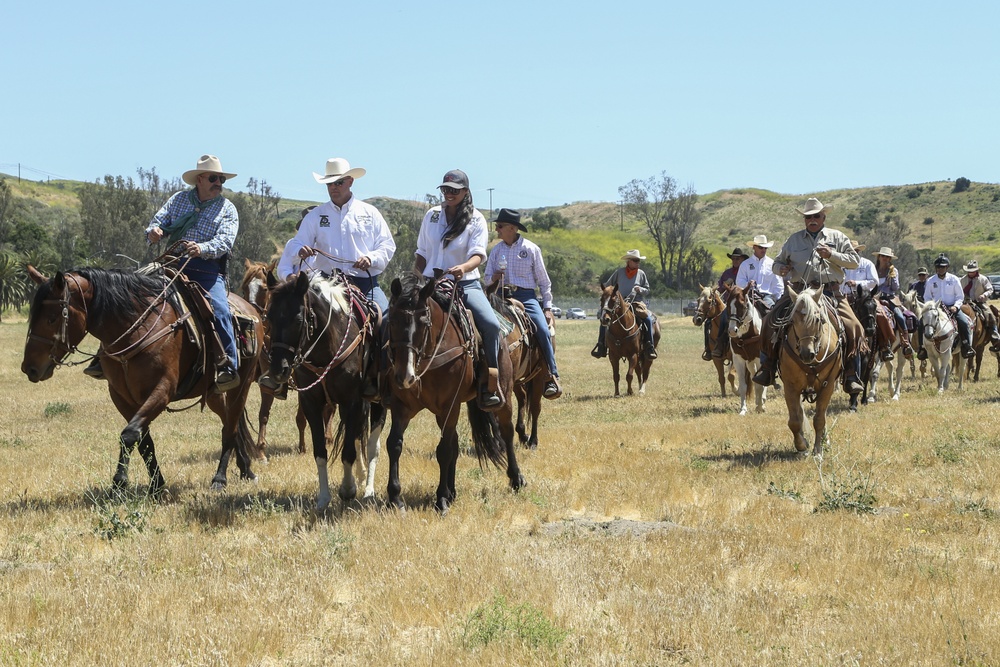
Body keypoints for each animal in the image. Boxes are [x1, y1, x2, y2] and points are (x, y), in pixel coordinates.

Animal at [21, 266, 264, 496]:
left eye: (52, 318)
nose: (29, 368)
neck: (138, 328)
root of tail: (251, 310)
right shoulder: (123, 398)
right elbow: (144, 441)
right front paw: (157, 485)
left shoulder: (162, 390)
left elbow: (129, 435)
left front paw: (119, 484)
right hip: (213, 393)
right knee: (230, 423)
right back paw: (246, 469)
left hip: (241, 387)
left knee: (230, 427)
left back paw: (220, 479)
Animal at [264, 272, 384, 512]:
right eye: (269, 318)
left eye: (298, 319)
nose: (278, 370)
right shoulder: (311, 402)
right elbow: (320, 452)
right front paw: (323, 499)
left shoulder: (351, 401)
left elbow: (348, 452)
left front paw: (347, 490)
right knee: (357, 436)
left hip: (376, 404)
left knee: (372, 445)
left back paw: (368, 490)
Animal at [382, 274, 524, 516]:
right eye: (391, 320)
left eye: (424, 322)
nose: (404, 375)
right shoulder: (402, 406)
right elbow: (394, 444)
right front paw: (395, 498)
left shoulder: (449, 406)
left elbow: (444, 450)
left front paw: (440, 500)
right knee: (456, 443)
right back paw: (452, 491)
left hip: (503, 398)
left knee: (506, 433)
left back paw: (516, 478)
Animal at [724, 284, 768, 414]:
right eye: (728, 306)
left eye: (742, 306)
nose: (732, 331)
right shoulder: (739, 360)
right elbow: (744, 385)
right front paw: (743, 409)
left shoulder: (759, 359)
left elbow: (759, 384)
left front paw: (760, 407)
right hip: (750, 362)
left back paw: (762, 401)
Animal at [776, 288, 840, 460]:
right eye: (792, 321)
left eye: (818, 320)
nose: (806, 354)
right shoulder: (790, 387)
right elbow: (794, 421)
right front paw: (801, 445)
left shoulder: (828, 386)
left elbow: (819, 419)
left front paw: (818, 451)